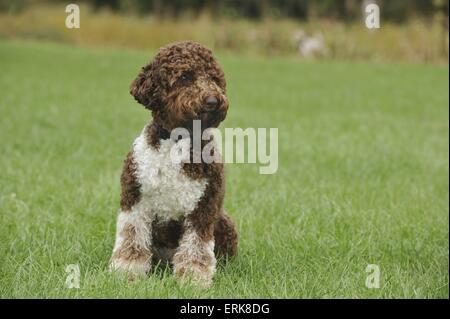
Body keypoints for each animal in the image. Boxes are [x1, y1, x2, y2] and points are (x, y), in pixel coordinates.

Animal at [109, 40, 239, 288]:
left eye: (214, 78)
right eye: (185, 77)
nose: (213, 101)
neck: (178, 141)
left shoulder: (203, 209)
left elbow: (196, 247)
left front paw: (193, 278)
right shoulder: (135, 200)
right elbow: (132, 240)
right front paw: (127, 272)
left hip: (223, 221)